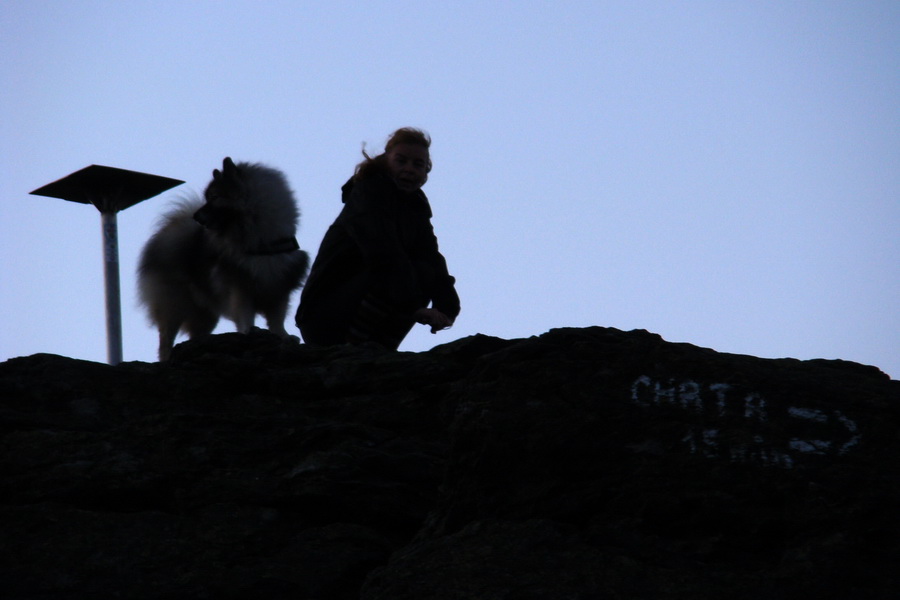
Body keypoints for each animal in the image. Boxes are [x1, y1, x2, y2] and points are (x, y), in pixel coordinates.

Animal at [137, 157, 310, 358]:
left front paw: (283, 337)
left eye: (214, 197)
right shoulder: (240, 288)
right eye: (208, 197)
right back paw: (166, 357)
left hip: (205, 313)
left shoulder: (279, 287)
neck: (261, 241)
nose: (196, 216)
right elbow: (246, 317)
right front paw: (249, 333)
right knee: (165, 338)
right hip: (174, 304)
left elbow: (277, 320)